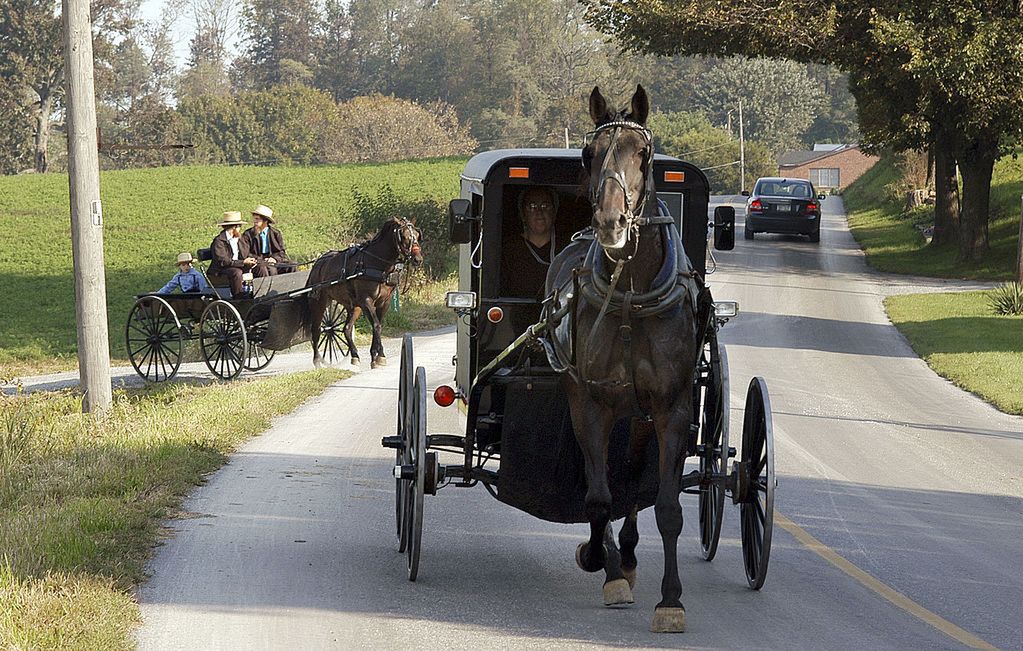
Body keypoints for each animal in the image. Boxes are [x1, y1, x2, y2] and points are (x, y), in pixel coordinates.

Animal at [308, 219, 425, 368]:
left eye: (417, 235)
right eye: (403, 236)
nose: (418, 259)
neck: (379, 265)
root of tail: (318, 263)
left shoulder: (384, 302)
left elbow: (378, 325)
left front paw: (377, 355)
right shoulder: (366, 300)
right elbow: (376, 325)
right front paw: (379, 355)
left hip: (353, 306)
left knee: (346, 329)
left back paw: (355, 355)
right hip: (319, 302)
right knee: (316, 330)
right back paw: (317, 360)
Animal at [544, 84, 703, 630]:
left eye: (644, 154)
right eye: (588, 154)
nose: (610, 223)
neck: (631, 294)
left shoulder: (672, 408)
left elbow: (667, 507)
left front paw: (671, 600)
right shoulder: (591, 402)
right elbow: (597, 495)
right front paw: (605, 567)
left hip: (639, 418)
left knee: (635, 484)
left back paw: (629, 554)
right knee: (607, 484)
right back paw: (609, 556)